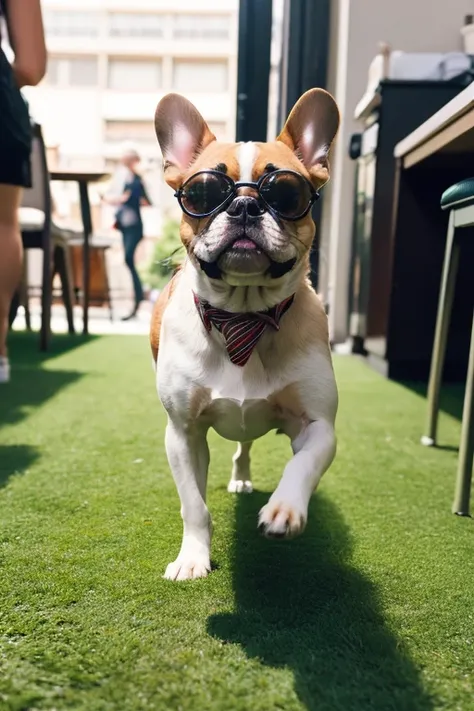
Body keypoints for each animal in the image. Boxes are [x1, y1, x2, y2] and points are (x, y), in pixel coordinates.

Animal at [150, 89, 338, 580]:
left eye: (288, 192)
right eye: (202, 192)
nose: (245, 205)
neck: (244, 317)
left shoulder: (319, 426)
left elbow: (303, 464)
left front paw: (284, 510)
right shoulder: (182, 435)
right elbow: (194, 505)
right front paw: (193, 556)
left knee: (245, 447)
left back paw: (244, 480)